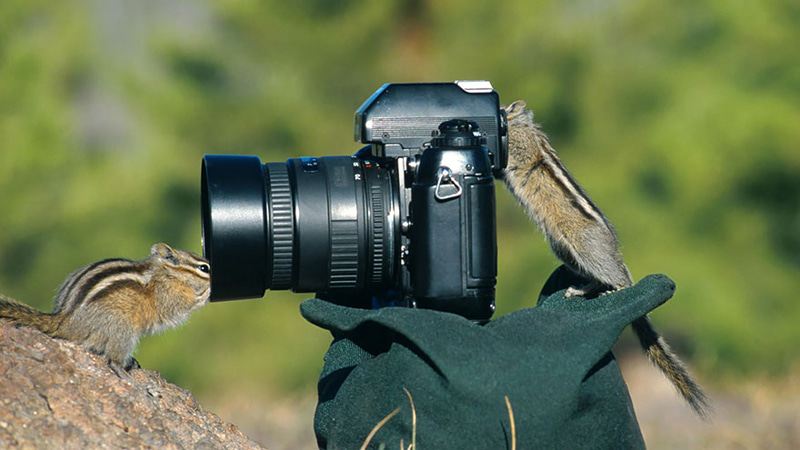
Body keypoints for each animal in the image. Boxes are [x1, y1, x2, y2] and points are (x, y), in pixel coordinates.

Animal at [0, 243, 210, 378]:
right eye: (204, 268)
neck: (167, 273)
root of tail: (65, 321)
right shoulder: (167, 296)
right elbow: (179, 307)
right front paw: (205, 294)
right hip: (123, 329)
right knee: (113, 360)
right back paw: (124, 373)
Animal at [501, 100, 710, 418]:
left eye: (503, 108)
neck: (524, 125)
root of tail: (617, 255)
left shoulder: (522, 146)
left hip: (585, 248)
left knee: (614, 278)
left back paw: (617, 289)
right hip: (564, 250)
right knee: (596, 280)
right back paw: (580, 290)